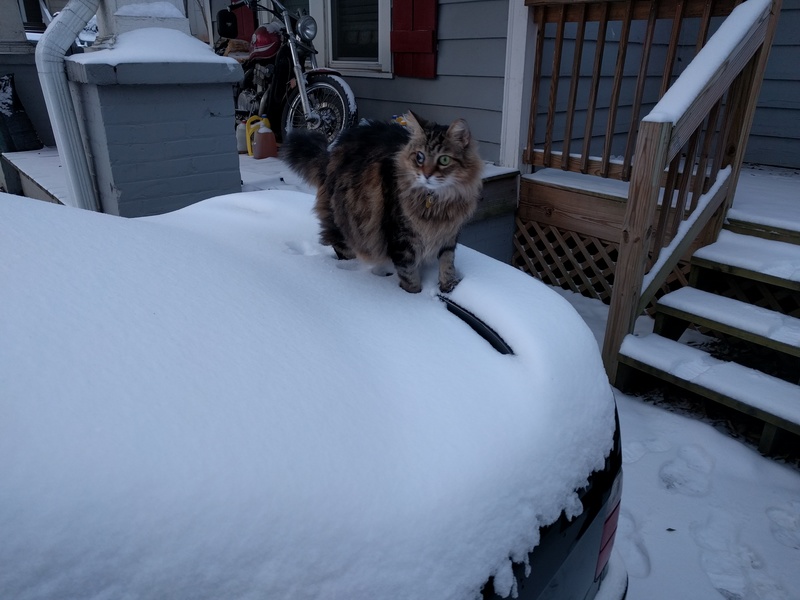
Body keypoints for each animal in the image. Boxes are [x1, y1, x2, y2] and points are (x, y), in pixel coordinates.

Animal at [280, 112, 482, 292]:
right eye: (420, 157)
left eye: (444, 160)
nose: (426, 175)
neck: (435, 203)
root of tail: (331, 153)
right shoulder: (401, 239)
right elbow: (409, 275)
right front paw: (413, 295)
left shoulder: (449, 234)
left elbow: (447, 263)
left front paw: (448, 286)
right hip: (344, 223)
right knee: (340, 246)